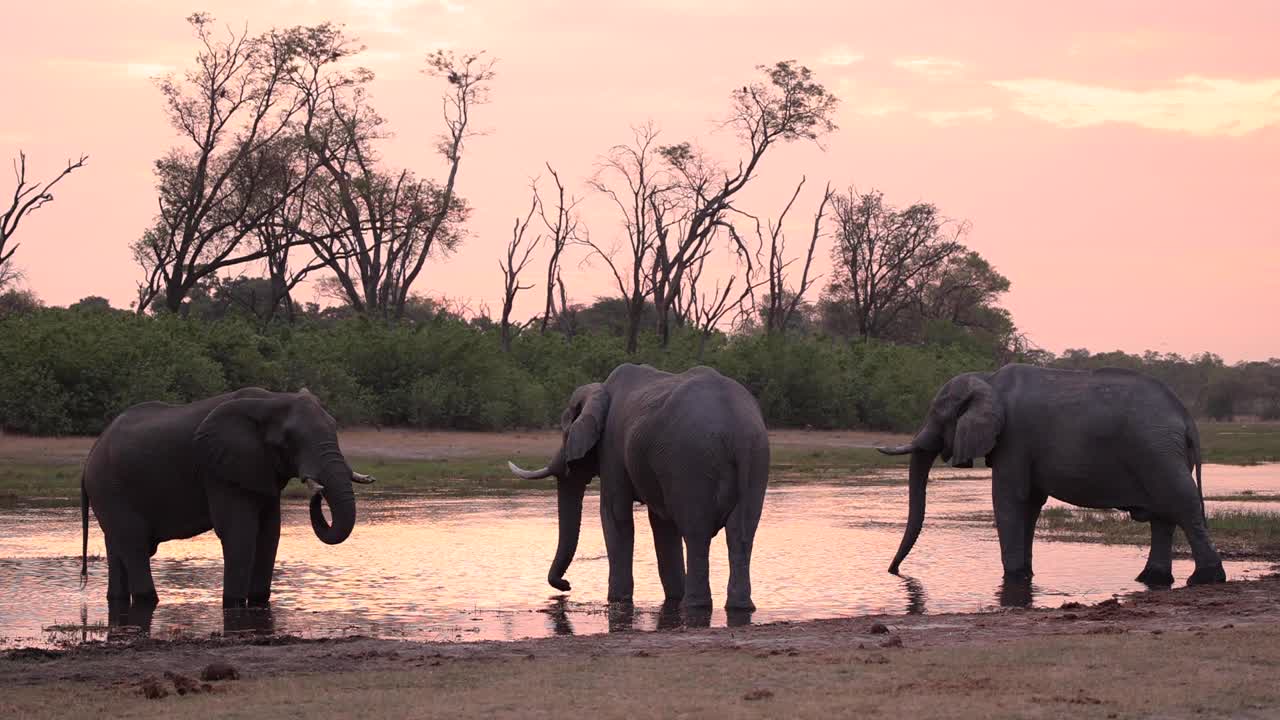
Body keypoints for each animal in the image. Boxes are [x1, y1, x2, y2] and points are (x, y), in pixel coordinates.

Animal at [80, 388, 374, 610]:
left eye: (334, 427)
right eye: (288, 440)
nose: (317, 492)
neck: (271, 400)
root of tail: (90, 455)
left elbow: (270, 532)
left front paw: (257, 602)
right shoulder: (219, 470)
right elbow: (239, 531)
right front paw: (233, 604)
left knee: (117, 547)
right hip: (109, 487)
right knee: (134, 544)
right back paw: (147, 600)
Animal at [507, 364, 770, 610]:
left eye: (564, 432)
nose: (566, 586)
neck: (600, 389)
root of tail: (737, 432)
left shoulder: (612, 447)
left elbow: (615, 516)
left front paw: (617, 600)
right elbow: (662, 525)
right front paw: (673, 596)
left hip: (692, 461)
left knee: (697, 533)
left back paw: (695, 606)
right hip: (755, 460)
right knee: (741, 534)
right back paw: (738, 607)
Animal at [878, 363, 1226, 586]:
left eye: (938, 416)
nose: (894, 572)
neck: (986, 379)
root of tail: (1186, 418)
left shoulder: (1015, 438)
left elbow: (1009, 499)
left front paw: (1013, 576)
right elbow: (1030, 504)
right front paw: (1024, 575)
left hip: (1156, 450)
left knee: (1180, 502)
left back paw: (1205, 579)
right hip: (1161, 451)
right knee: (1163, 513)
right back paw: (1151, 579)